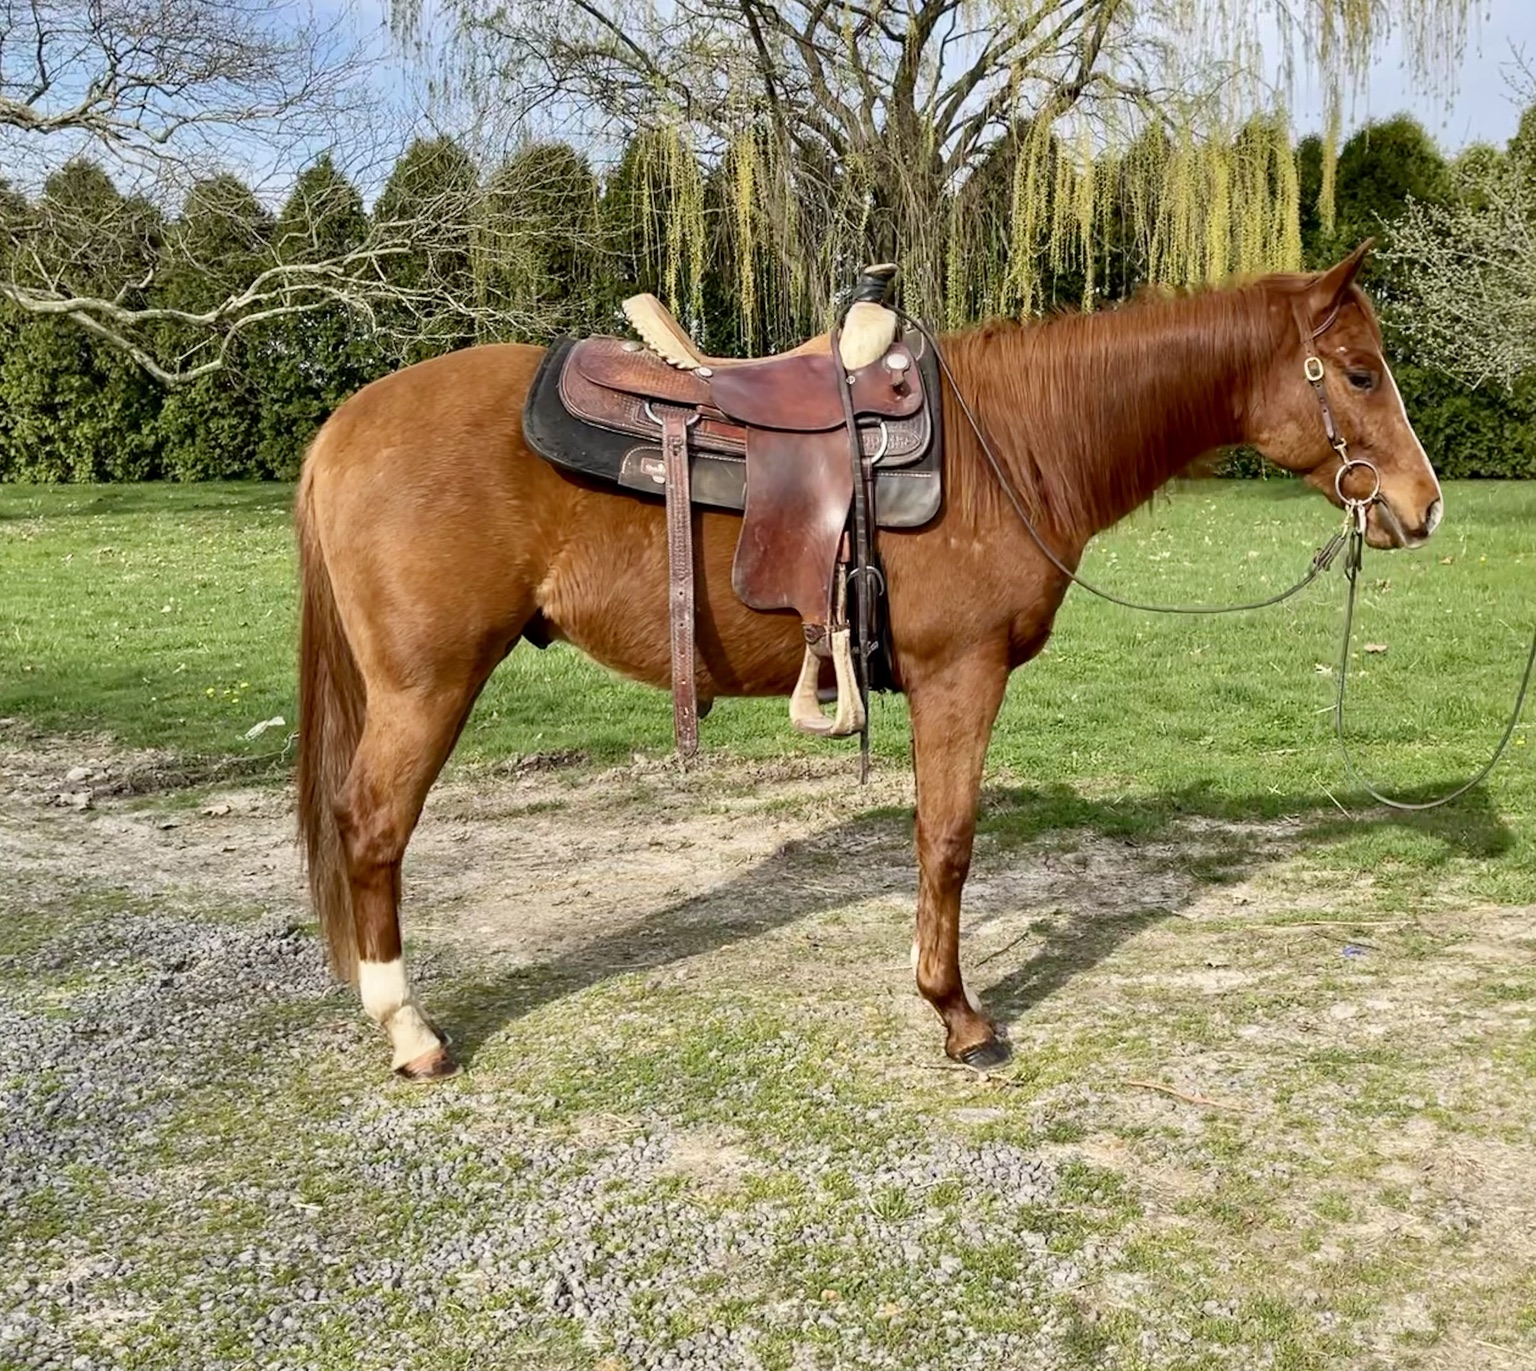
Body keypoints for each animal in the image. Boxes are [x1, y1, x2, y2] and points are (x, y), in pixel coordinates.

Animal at [294, 243, 1443, 1081]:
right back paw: (412, 1032)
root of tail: (342, 424)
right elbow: (949, 839)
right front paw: (959, 1016)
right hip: (427, 685)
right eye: (1358, 372)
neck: (1014, 444)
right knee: (374, 828)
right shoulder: (961, 675)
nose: (1423, 508)